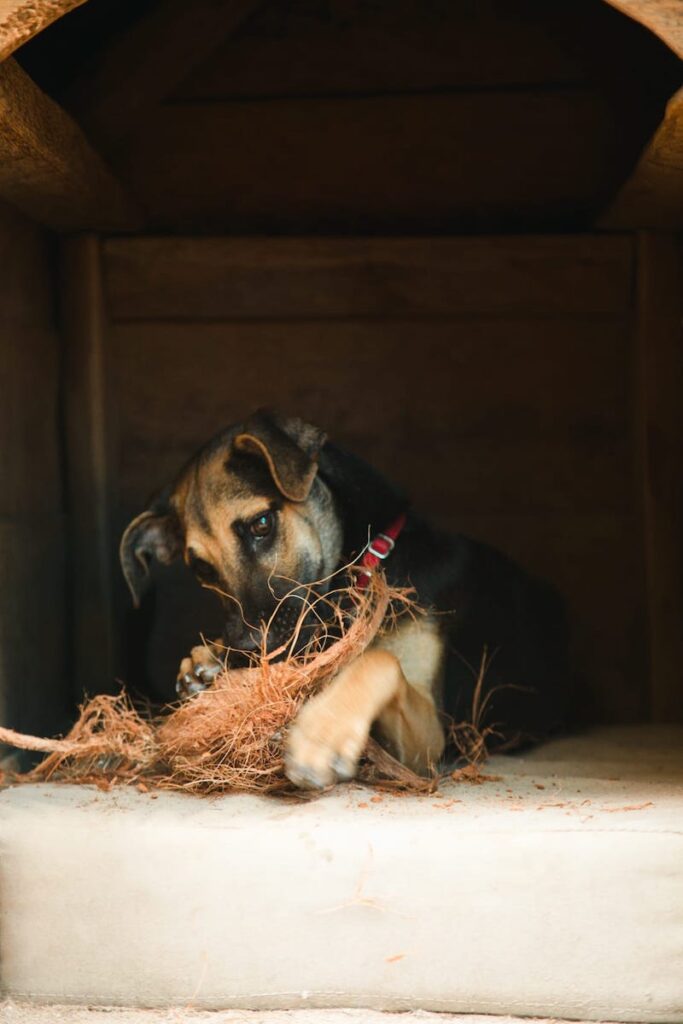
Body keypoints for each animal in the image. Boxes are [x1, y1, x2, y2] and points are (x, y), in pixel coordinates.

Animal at [120, 409, 569, 790]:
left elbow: (378, 660)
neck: (374, 560)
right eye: (201, 569)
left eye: (261, 524)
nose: (245, 651)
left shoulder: (427, 747)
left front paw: (323, 732)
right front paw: (206, 661)